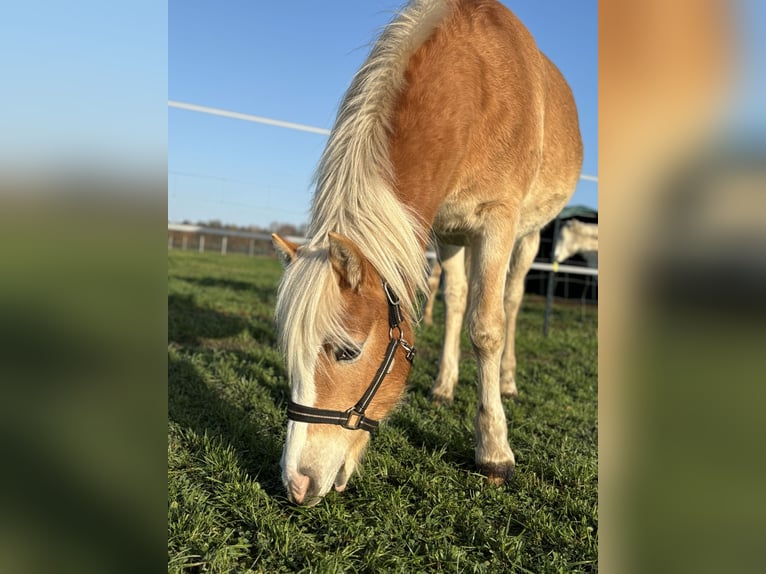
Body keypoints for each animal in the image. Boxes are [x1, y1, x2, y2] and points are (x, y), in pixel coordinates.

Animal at [274, 0, 584, 508]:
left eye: (346, 352)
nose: (296, 484)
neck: (476, 87)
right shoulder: (443, 230)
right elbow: (457, 304)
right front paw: (447, 385)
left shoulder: (498, 222)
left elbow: (488, 328)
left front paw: (494, 453)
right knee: (457, 298)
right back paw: (444, 385)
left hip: (530, 234)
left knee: (512, 300)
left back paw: (508, 381)